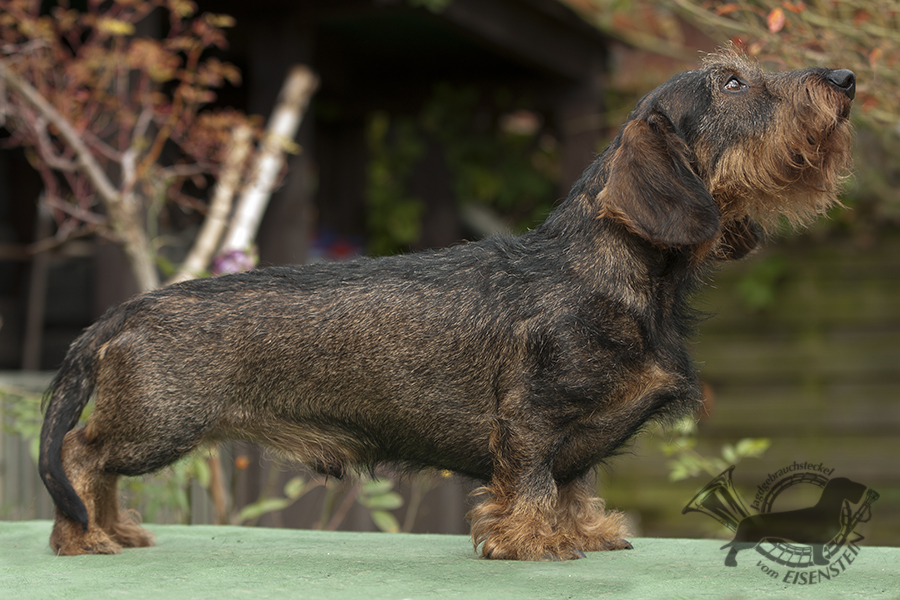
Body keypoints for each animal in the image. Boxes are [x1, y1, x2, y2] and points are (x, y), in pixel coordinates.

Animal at [39, 49, 855, 560]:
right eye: (731, 84)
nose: (845, 79)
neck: (611, 271)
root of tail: (126, 311)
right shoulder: (532, 417)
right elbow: (532, 481)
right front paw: (530, 542)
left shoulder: (577, 438)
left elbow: (574, 485)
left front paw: (582, 531)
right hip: (157, 425)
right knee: (81, 455)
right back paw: (81, 535)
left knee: (95, 468)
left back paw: (111, 531)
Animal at [722, 477, 868, 567]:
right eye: (848, 484)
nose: (864, 487)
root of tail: (743, 521)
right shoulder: (818, 541)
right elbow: (818, 554)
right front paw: (821, 562)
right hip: (750, 540)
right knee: (733, 548)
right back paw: (730, 563)